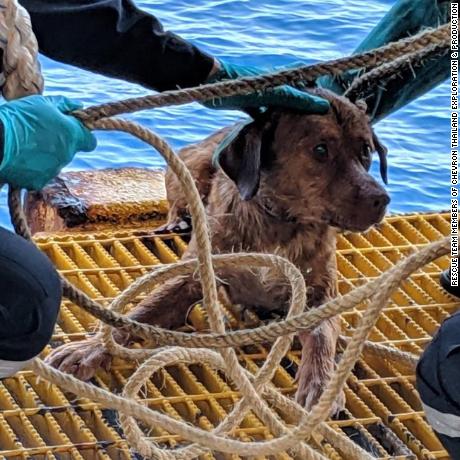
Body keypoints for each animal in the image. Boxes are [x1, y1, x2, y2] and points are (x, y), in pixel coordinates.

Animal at [45, 89, 388, 414]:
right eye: (320, 150)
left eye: (365, 150)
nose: (381, 199)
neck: (278, 221)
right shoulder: (192, 278)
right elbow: (136, 314)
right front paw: (88, 349)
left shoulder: (320, 296)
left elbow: (320, 339)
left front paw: (322, 385)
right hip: (191, 166)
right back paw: (177, 221)